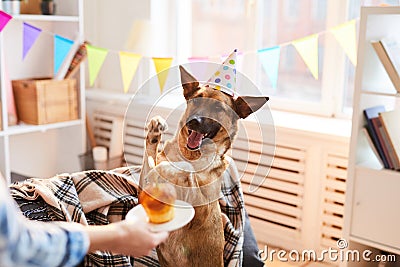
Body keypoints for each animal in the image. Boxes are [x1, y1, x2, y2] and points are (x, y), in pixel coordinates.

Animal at [140, 65, 268, 267]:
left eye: (217, 107)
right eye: (195, 100)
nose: (194, 120)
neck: (189, 154)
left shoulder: (200, 212)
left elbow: (188, 169)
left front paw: (170, 168)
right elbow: (151, 156)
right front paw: (154, 131)